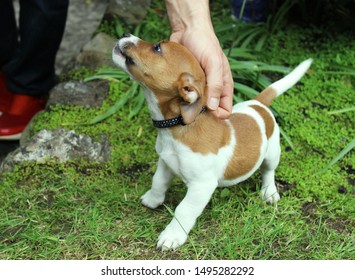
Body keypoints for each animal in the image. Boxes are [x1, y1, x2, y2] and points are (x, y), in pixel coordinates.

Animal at [112, 34, 312, 250]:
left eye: (157, 47)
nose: (126, 35)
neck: (178, 127)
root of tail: (258, 103)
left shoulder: (202, 186)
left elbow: (184, 209)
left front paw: (172, 235)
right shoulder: (165, 163)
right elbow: (158, 182)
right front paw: (152, 199)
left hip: (272, 153)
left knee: (268, 171)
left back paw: (269, 192)